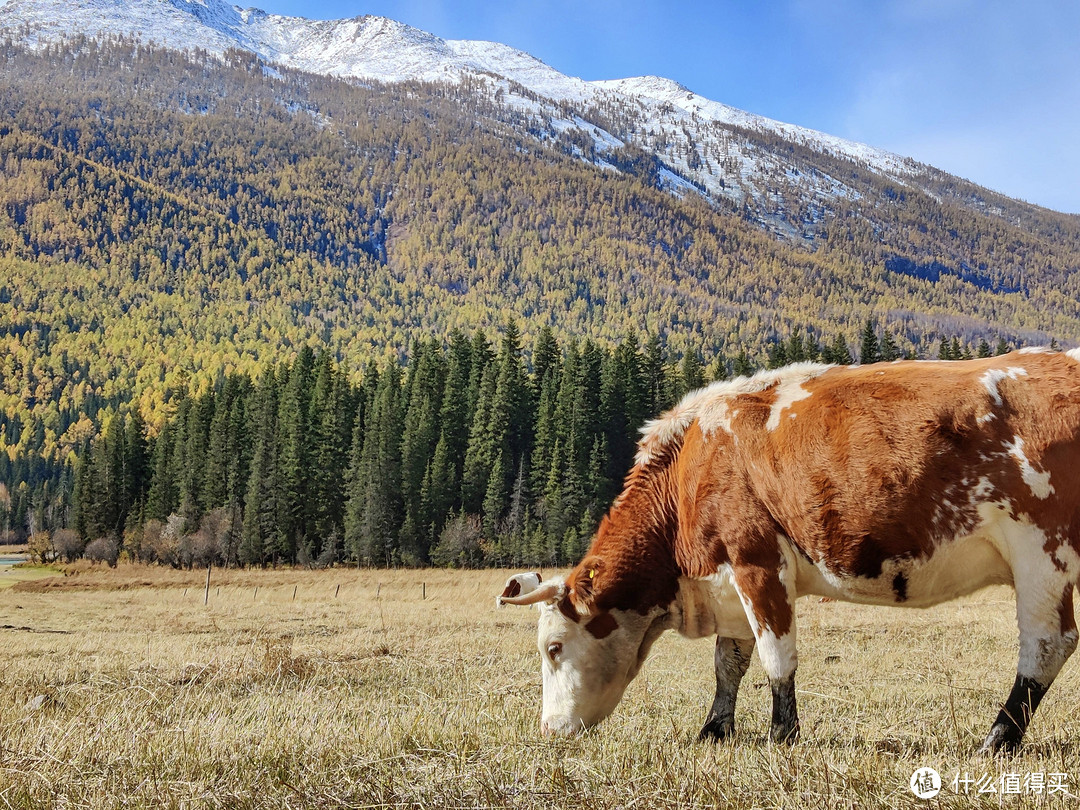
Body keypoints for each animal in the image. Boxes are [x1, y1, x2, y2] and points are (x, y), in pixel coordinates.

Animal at [496, 349, 1080, 756]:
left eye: (553, 647)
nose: (549, 729)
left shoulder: (757, 560)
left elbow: (777, 656)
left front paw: (782, 734)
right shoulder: (725, 579)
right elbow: (729, 662)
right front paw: (715, 729)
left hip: (1041, 553)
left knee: (1046, 645)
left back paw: (997, 738)